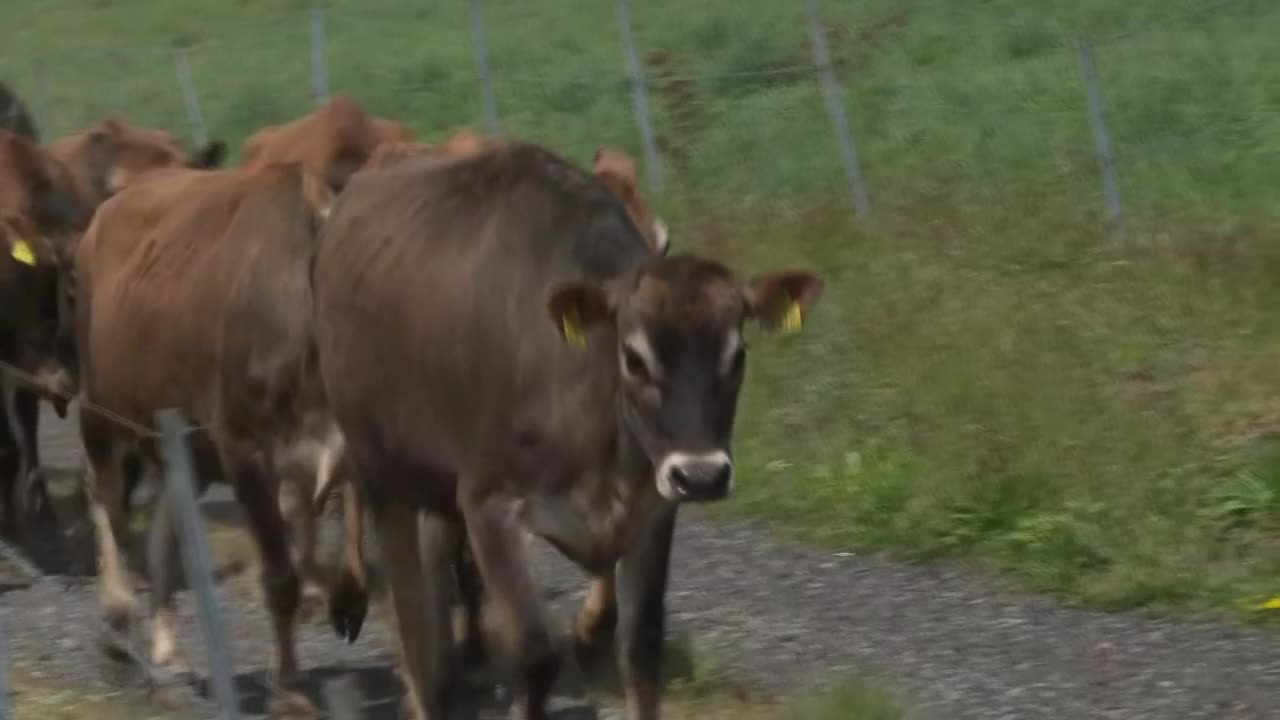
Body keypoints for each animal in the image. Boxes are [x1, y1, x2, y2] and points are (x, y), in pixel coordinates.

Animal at [74, 159, 340, 707]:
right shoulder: (244, 451)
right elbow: (280, 575)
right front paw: (290, 690)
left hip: (178, 440)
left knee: (164, 524)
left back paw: (168, 652)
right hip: (100, 405)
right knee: (102, 493)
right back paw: (117, 610)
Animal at [314, 141, 824, 717]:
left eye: (737, 355)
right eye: (634, 358)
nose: (702, 476)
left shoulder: (651, 510)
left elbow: (640, 648)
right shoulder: (489, 504)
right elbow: (536, 656)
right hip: (381, 469)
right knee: (409, 608)